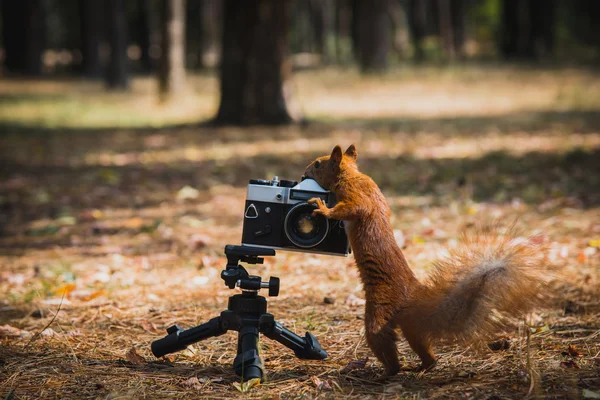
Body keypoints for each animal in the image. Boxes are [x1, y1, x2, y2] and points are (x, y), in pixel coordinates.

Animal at [304, 144, 544, 376]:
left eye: (317, 164)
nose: (304, 172)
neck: (351, 175)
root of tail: (413, 297)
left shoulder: (356, 194)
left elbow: (352, 208)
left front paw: (323, 208)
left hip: (379, 311)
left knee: (383, 344)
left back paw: (387, 372)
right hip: (412, 329)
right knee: (425, 350)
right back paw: (423, 367)